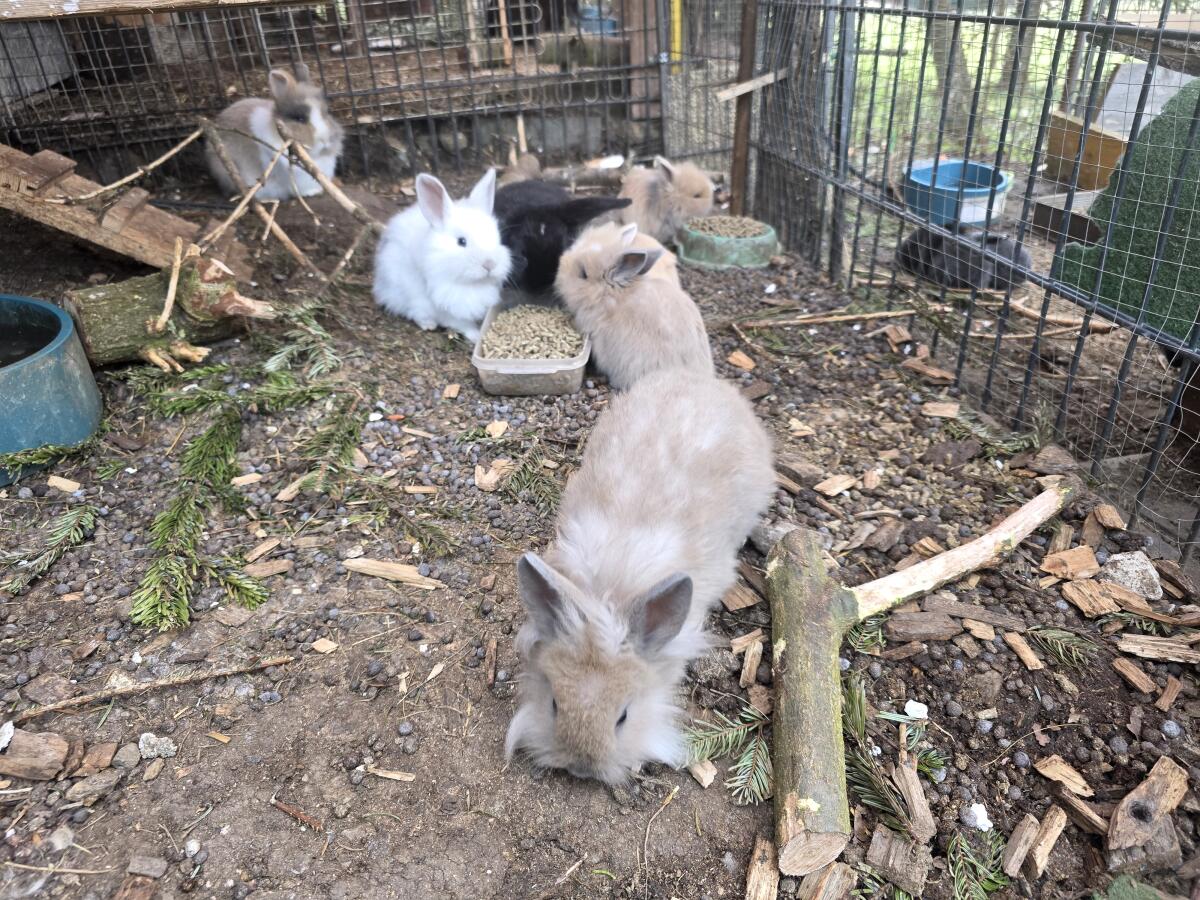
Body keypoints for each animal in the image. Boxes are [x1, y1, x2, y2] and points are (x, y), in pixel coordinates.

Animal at [373, 169, 512, 342]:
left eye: (497, 237)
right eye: (461, 241)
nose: (490, 264)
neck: (472, 284)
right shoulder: (448, 304)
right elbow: (461, 323)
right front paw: (475, 335)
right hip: (405, 292)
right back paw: (428, 324)